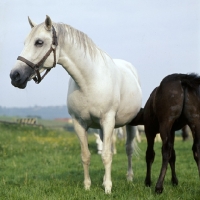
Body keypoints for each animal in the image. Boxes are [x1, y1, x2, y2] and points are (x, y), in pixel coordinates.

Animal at [10, 14, 142, 193]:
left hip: (130, 124)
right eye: (25, 42)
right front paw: (87, 186)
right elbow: (86, 155)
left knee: (128, 149)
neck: (89, 81)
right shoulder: (79, 123)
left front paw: (108, 188)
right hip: (101, 128)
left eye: (39, 42)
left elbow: (107, 155)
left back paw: (129, 177)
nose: (15, 75)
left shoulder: (108, 121)